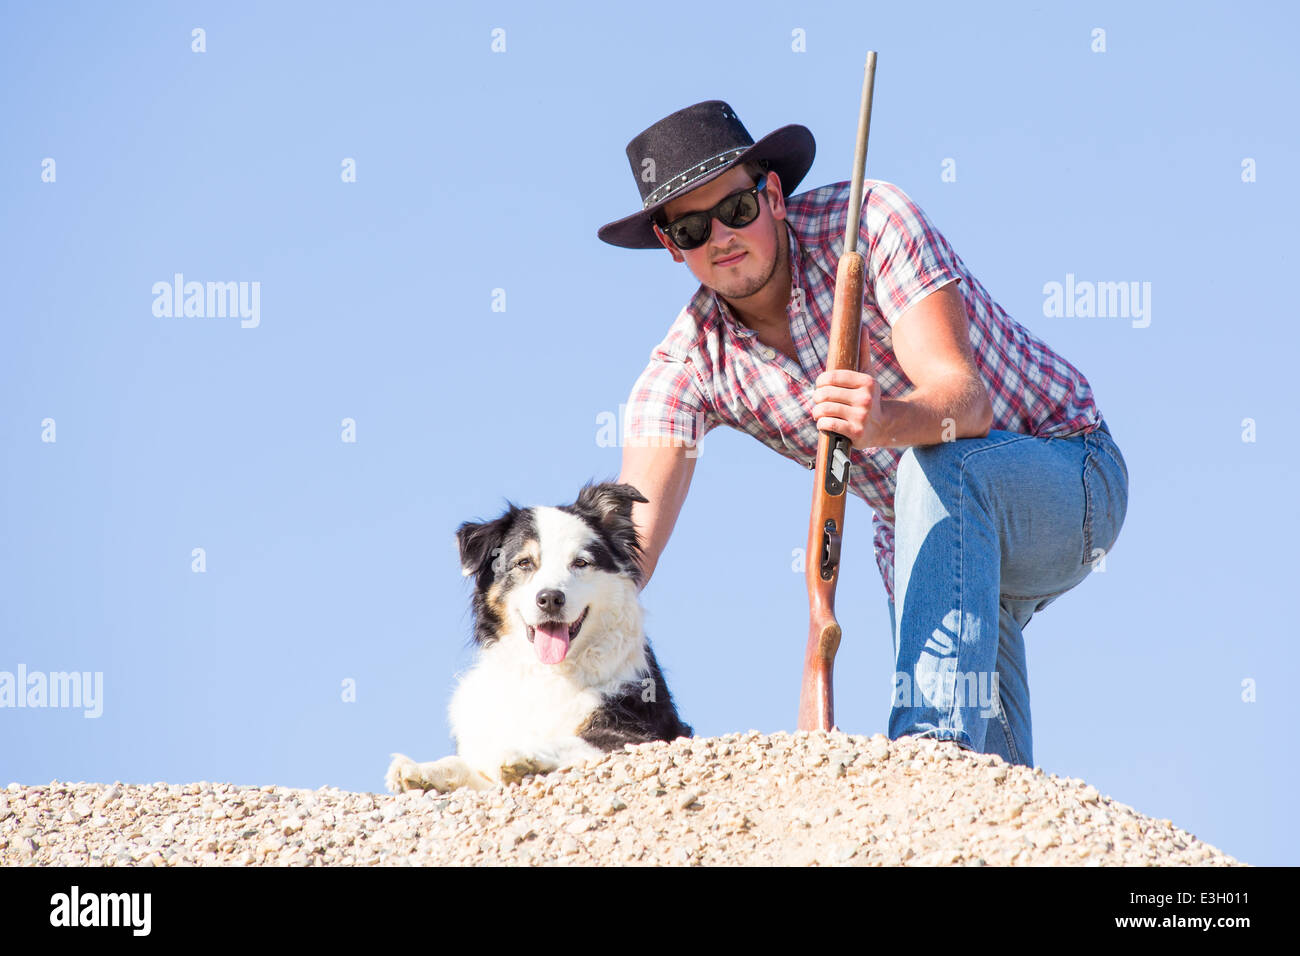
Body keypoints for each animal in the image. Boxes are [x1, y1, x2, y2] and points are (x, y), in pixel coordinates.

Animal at [382, 481, 691, 796]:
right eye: (524, 563)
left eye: (580, 562)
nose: (550, 598)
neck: (547, 673)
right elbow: (465, 765)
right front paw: (421, 769)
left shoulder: (640, 734)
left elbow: (572, 741)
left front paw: (523, 753)